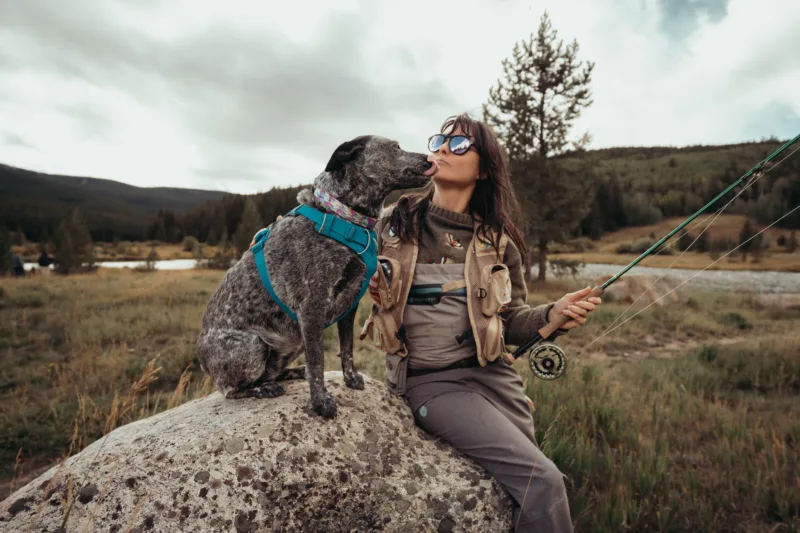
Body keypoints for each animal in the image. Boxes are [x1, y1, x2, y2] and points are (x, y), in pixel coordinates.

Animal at [196, 135, 434, 418]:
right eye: (396, 147)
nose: (430, 159)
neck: (343, 215)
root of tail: (202, 360)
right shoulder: (312, 308)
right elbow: (318, 361)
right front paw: (321, 402)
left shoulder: (350, 305)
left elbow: (347, 349)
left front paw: (350, 379)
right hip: (253, 345)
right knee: (232, 389)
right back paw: (263, 389)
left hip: (291, 342)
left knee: (271, 373)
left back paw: (292, 373)